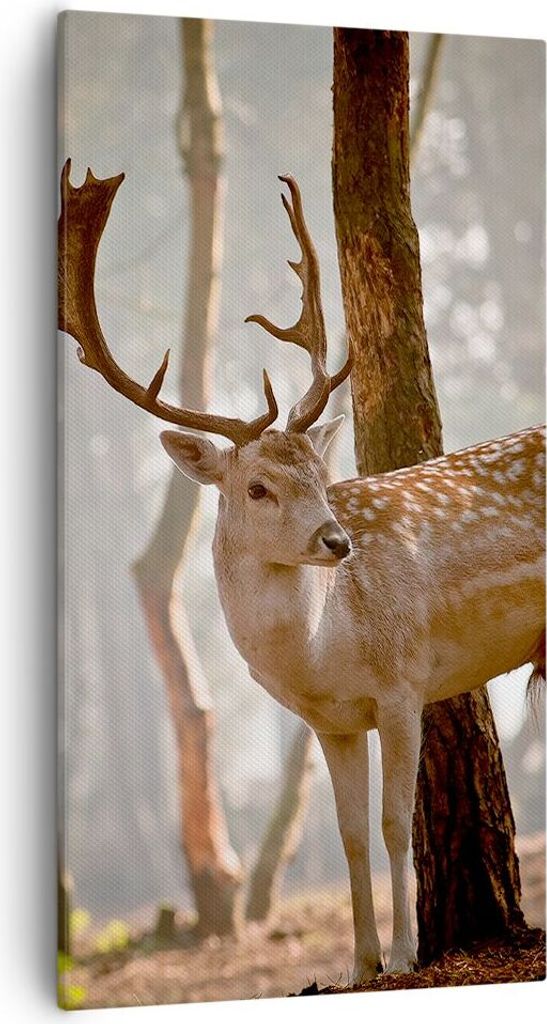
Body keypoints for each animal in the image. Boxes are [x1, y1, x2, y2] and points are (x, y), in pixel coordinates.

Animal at [59, 160, 545, 983]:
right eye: (257, 487)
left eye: (322, 473)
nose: (337, 540)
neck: (324, 651)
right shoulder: (332, 722)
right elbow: (348, 832)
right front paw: (358, 963)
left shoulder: (403, 681)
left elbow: (393, 822)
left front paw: (408, 953)